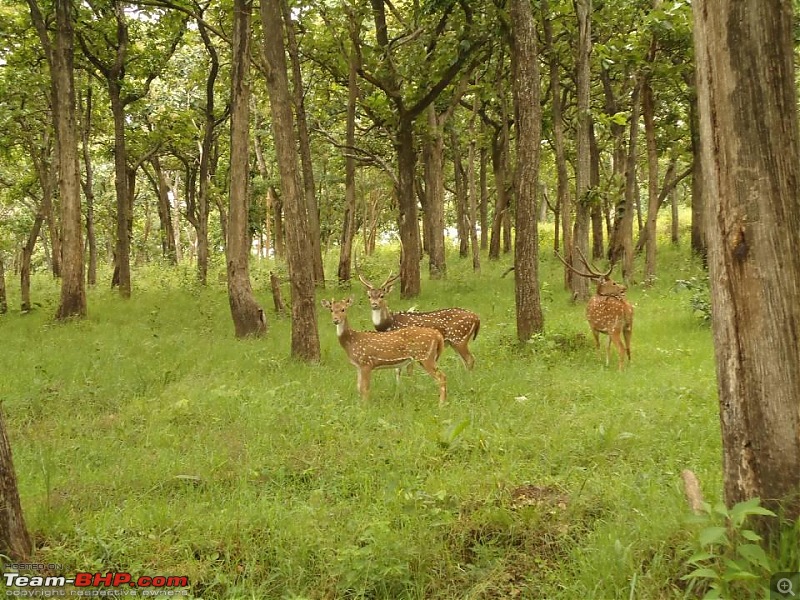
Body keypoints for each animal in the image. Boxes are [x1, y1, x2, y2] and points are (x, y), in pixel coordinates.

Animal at [320, 298, 450, 406]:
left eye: (343, 309)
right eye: (331, 310)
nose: (335, 320)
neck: (352, 340)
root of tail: (437, 335)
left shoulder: (366, 362)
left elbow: (365, 388)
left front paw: (365, 407)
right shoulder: (359, 366)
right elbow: (358, 387)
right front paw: (360, 405)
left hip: (425, 356)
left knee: (442, 376)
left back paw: (441, 404)